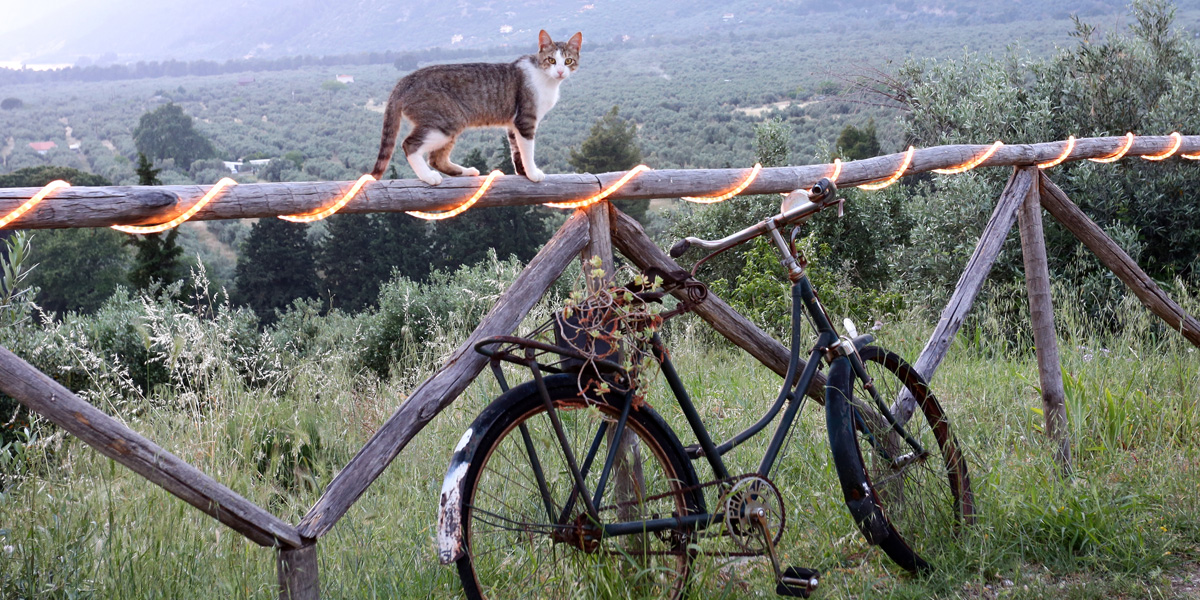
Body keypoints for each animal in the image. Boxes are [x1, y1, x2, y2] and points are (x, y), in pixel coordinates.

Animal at [372, 29, 583, 184]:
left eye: (568, 61)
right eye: (551, 60)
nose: (560, 71)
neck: (546, 79)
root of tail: (405, 80)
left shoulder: (513, 123)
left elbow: (516, 150)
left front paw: (523, 172)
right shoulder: (526, 120)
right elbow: (527, 150)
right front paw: (533, 173)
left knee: (436, 159)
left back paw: (466, 172)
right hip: (445, 122)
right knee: (410, 145)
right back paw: (428, 177)